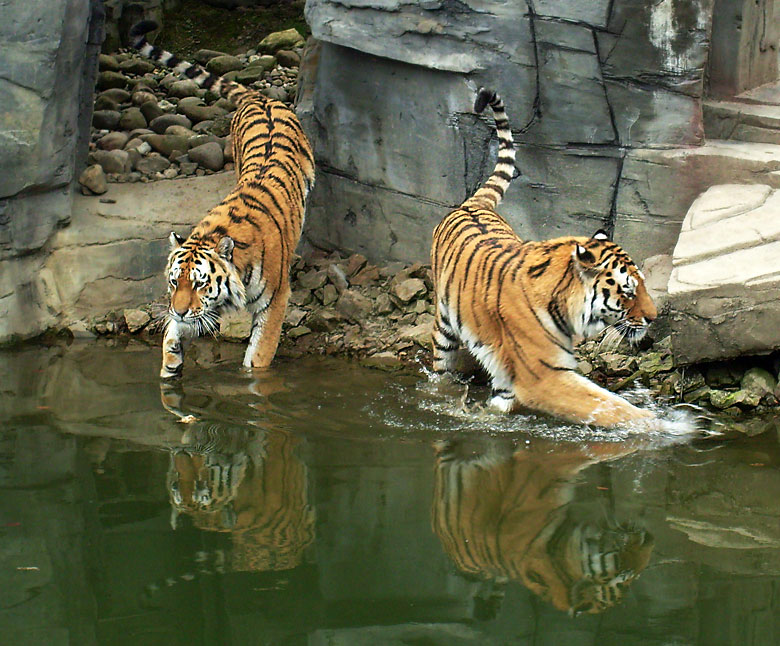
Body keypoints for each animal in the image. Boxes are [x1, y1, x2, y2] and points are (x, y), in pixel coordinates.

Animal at [128, 21, 314, 380]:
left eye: (200, 284)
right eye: (174, 282)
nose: (178, 311)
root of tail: (259, 96)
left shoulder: (275, 301)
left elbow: (258, 356)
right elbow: (175, 333)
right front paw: (170, 362)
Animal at [432, 87, 660, 430]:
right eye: (628, 291)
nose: (654, 317)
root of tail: (473, 204)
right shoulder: (544, 377)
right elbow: (612, 407)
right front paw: (667, 426)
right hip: (444, 328)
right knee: (440, 369)